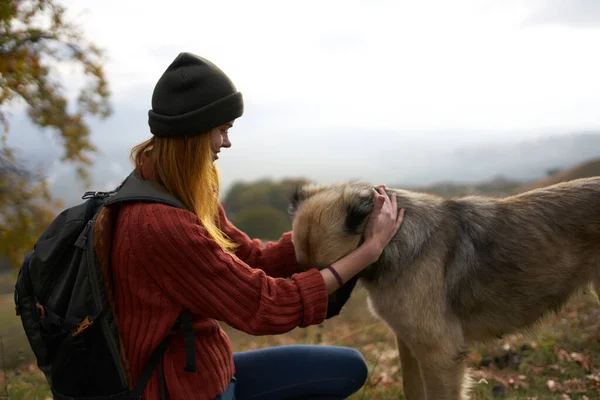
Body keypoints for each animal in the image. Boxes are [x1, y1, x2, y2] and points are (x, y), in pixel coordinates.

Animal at [286, 177, 600, 400]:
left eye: (333, 269)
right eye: (303, 267)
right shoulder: (409, 344)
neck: (394, 244)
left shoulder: (440, 354)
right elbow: (412, 390)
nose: (321, 313)